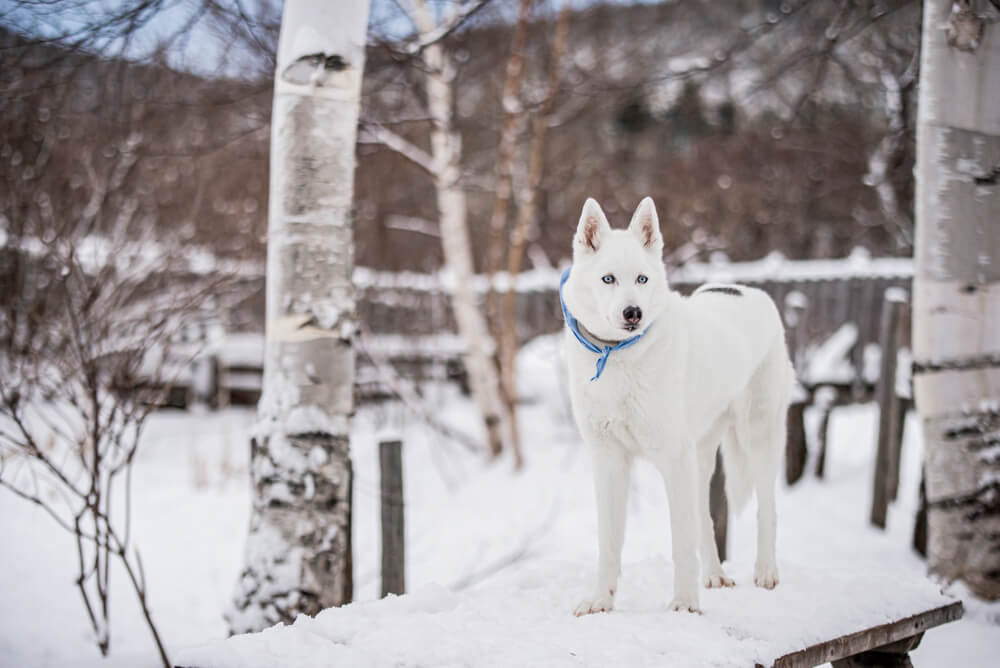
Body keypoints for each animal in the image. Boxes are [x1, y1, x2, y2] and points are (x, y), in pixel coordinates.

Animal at [568, 196, 792, 612]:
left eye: (642, 279)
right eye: (608, 279)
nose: (633, 313)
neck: (618, 356)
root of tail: (744, 289)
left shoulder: (672, 459)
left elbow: (681, 543)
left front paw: (686, 605)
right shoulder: (609, 462)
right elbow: (609, 544)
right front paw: (600, 601)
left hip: (757, 439)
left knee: (766, 509)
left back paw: (766, 572)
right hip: (699, 458)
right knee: (705, 517)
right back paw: (715, 575)